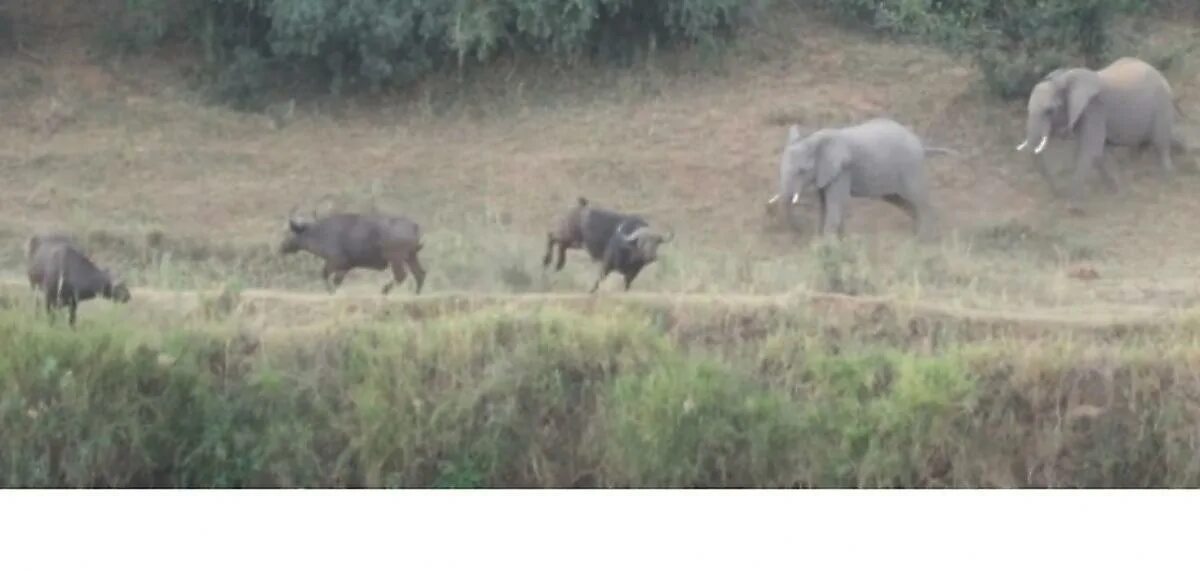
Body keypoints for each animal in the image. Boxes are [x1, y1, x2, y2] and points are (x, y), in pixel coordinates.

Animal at [278, 208, 429, 293]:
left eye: (290, 233)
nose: (281, 247)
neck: (320, 233)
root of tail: (415, 227)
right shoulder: (345, 267)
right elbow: (336, 281)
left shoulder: (335, 262)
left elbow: (324, 275)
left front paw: (329, 291)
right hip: (411, 256)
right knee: (420, 274)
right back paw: (416, 293)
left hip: (396, 258)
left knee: (401, 276)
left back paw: (384, 290)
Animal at [768, 118, 955, 238]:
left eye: (802, 171)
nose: (799, 231)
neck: (815, 138)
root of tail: (921, 144)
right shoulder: (826, 172)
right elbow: (825, 206)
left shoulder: (843, 170)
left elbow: (835, 204)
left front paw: (828, 245)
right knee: (902, 202)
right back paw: (915, 235)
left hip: (912, 168)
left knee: (919, 201)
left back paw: (924, 241)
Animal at [1017, 55, 1185, 207]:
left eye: (1049, 111)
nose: (1060, 194)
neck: (1064, 78)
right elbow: (1100, 152)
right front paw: (1116, 190)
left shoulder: (1094, 110)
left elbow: (1090, 150)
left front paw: (1074, 208)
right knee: (1145, 142)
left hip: (1161, 104)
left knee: (1160, 141)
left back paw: (1168, 175)